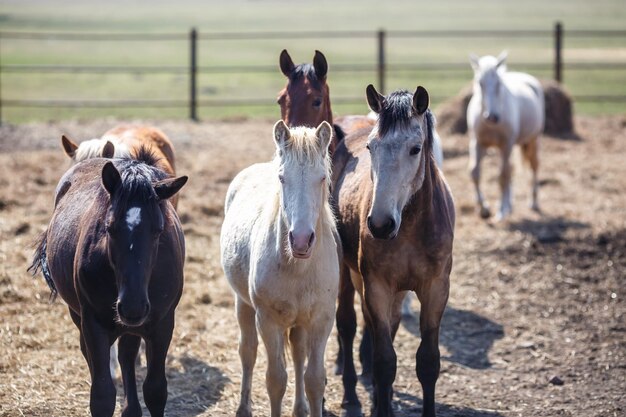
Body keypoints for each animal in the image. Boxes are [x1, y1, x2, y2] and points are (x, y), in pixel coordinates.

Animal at [29, 151, 185, 416]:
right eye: (109, 228)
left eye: (158, 230)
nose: (132, 306)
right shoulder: (94, 322)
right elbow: (102, 395)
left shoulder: (163, 323)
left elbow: (155, 390)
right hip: (80, 314)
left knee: (126, 355)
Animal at [221, 118, 338, 414]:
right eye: (283, 178)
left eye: (322, 178)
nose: (301, 240)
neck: (298, 268)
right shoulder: (268, 320)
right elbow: (275, 380)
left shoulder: (321, 319)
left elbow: (314, 379)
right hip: (243, 304)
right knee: (248, 352)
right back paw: (244, 408)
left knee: (298, 354)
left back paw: (299, 408)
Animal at [332, 84, 454, 416]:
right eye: (371, 148)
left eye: (415, 148)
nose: (380, 224)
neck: (410, 227)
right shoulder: (377, 286)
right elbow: (385, 361)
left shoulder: (435, 288)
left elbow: (428, 361)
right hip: (345, 272)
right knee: (347, 324)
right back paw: (352, 396)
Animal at [466, 51, 544, 221]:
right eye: (480, 83)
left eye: (498, 84)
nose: (492, 117)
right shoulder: (477, 143)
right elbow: (475, 173)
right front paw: (484, 209)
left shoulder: (506, 145)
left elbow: (502, 176)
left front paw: (500, 211)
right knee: (510, 169)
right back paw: (510, 205)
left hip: (533, 140)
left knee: (533, 166)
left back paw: (533, 202)